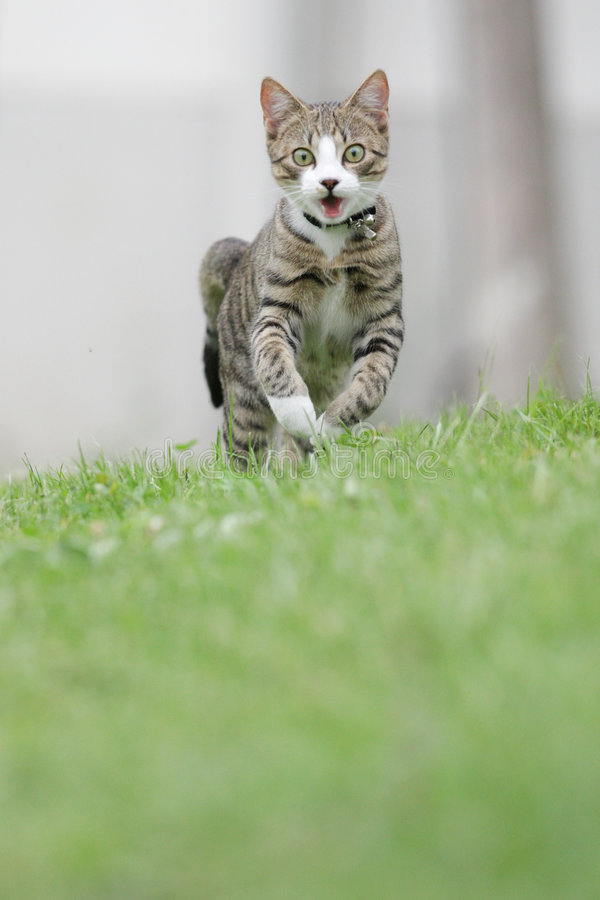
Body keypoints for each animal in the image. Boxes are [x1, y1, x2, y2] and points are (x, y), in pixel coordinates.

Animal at [200, 69, 404, 460]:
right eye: (302, 156)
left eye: (354, 152)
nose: (329, 181)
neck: (334, 245)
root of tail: (239, 261)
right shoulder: (277, 306)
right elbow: (272, 356)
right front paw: (297, 413)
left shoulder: (384, 317)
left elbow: (374, 381)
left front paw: (330, 425)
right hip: (242, 393)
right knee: (243, 444)